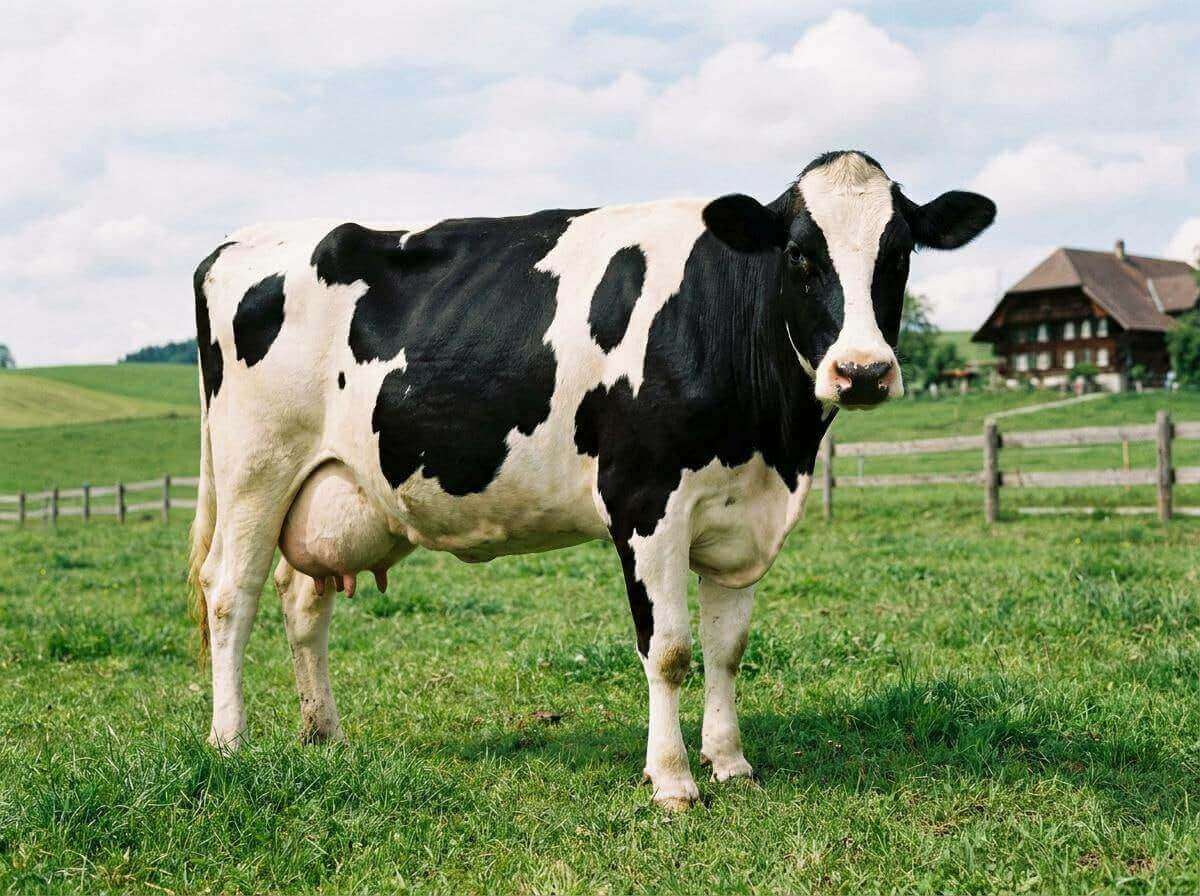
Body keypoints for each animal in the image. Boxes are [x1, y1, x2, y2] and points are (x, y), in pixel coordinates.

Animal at [189, 150, 994, 809]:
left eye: (900, 252)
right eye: (798, 254)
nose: (863, 371)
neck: (773, 442)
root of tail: (240, 242)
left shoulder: (742, 518)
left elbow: (728, 649)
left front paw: (731, 764)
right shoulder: (645, 503)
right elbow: (668, 650)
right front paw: (673, 781)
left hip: (328, 485)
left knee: (302, 601)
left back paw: (323, 731)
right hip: (254, 467)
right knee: (232, 592)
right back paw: (229, 740)